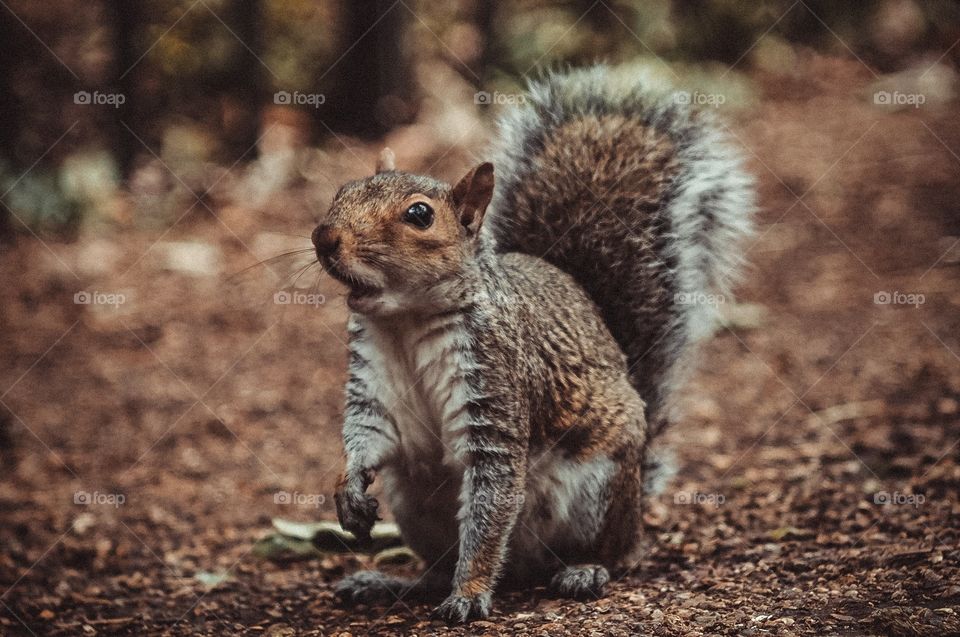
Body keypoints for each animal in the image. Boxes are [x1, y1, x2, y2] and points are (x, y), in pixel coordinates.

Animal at [311, 65, 755, 623]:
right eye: (342, 191)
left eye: (419, 215)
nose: (324, 238)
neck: (406, 323)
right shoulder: (373, 387)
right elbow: (365, 434)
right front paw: (347, 493)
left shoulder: (496, 386)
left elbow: (490, 506)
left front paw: (470, 593)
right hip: (415, 501)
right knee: (437, 568)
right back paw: (393, 583)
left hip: (598, 489)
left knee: (613, 555)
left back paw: (585, 569)